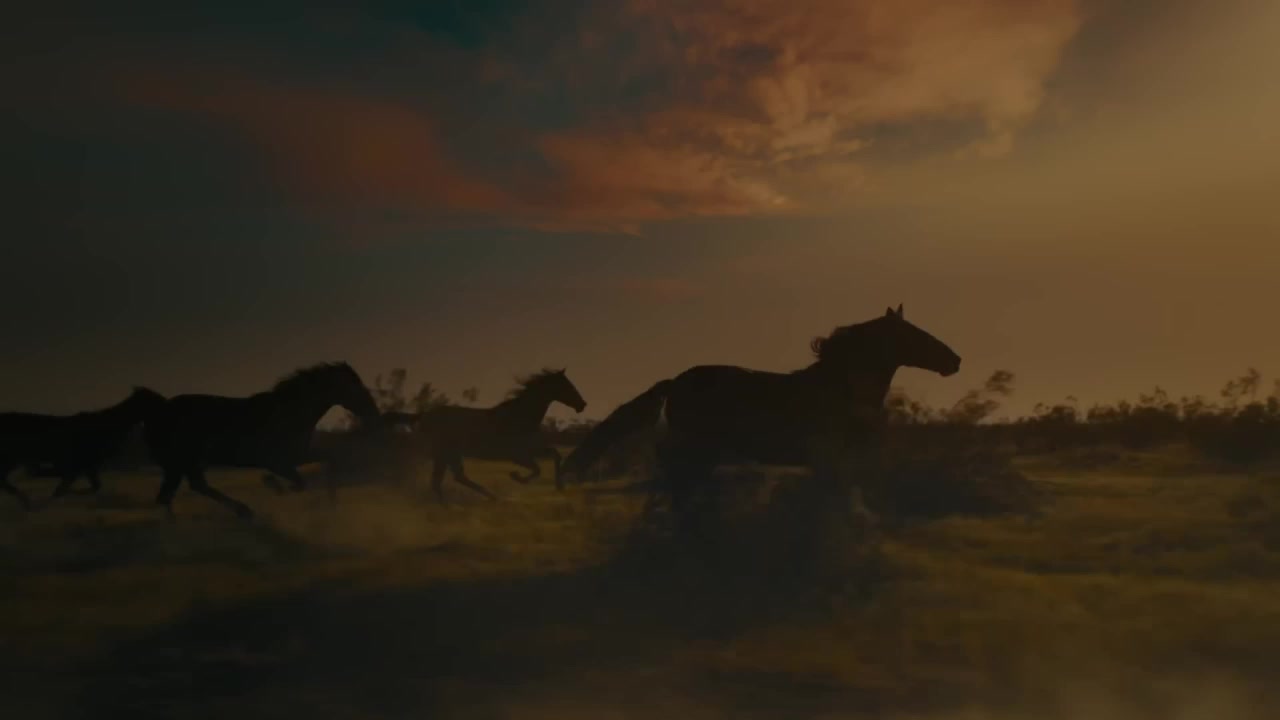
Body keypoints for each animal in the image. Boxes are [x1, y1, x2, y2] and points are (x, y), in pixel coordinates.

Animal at [0, 387, 167, 509]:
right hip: (11, 458)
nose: (166, 401)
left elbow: (93, 486)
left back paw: (26, 499)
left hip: (13, 459)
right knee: (9, 480)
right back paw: (26, 499)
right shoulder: (80, 463)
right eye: (152, 397)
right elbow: (68, 485)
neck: (108, 427)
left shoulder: (88, 465)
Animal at [144, 362, 382, 520]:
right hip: (183, 461)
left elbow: (328, 461)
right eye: (356, 388)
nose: (374, 415)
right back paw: (243, 511)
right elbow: (298, 483)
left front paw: (332, 504)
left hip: (181, 464)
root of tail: (161, 409)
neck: (289, 413)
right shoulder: (277, 462)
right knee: (183, 491)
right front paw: (275, 486)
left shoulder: (299, 455)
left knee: (177, 492)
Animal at [387, 368, 586, 504]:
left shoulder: (531, 449)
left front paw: (560, 486)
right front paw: (516, 476)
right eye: (567, 385)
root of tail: (424, 415)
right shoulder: (518, 455)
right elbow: (537, 469)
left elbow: (555, 454)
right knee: (445, 480)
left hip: (448, 454)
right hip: (445, 452)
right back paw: (482, 499)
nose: (582, 404)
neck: (519, 416)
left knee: (449, 479)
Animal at [561, 305, 962, 526]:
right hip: (695, 447)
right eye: (915, 334)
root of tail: (676, 382)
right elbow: (837, 495)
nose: (955, 360)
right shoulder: (831, 456)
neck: (841, 387)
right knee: (676, 481)